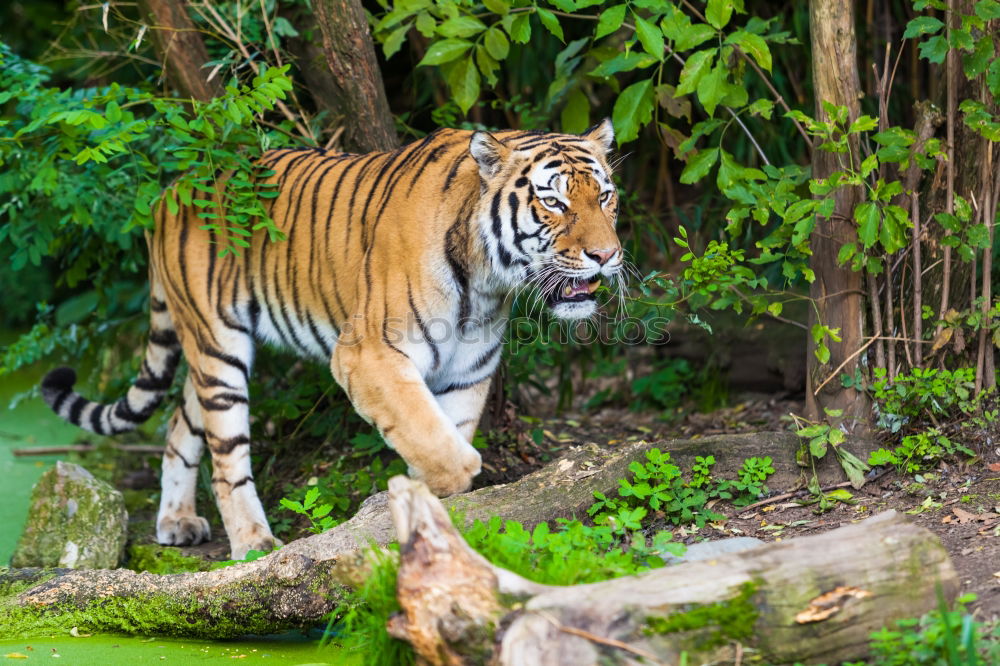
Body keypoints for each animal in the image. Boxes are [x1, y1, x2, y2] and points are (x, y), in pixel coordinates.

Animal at [41, 118, 624, 556]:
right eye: (555, 203)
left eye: (605, 197)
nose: (606, 255)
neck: (486, 283)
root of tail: (169, 192)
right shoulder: (369, 355)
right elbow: (447, 451)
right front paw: (433, 494)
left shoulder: (467, 371)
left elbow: (444, 436)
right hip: (219, 345)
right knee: (226, 454)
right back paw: (252, 542)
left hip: (203, 350)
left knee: (179, 422)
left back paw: (177, 521)